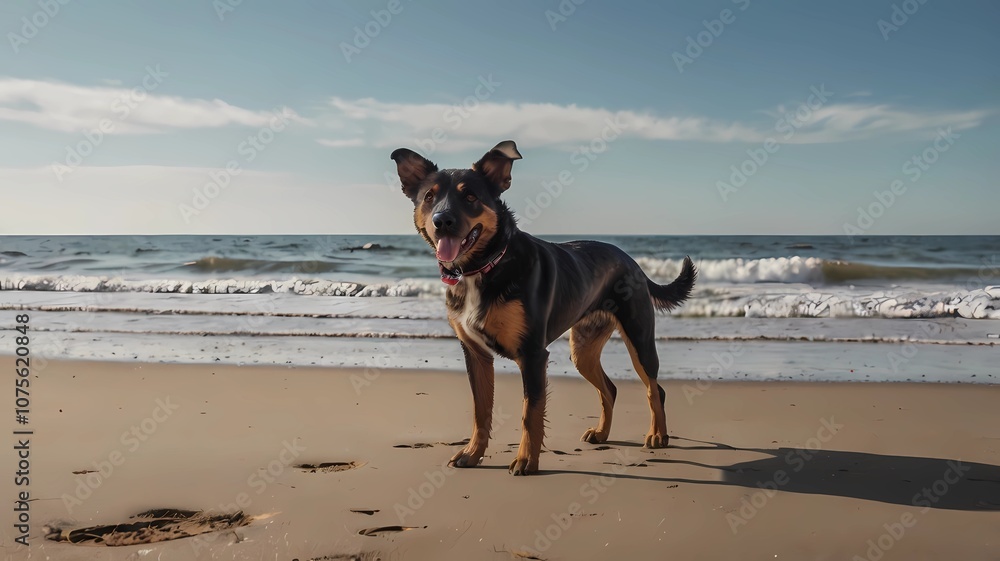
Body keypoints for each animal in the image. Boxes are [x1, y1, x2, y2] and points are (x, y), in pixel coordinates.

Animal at [390, 139, 696, 472]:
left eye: (470, 196)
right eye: (429, 197)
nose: (442, 221)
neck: (486, 266)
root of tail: (632, 262)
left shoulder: (533, 355)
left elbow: (530, 413)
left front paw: (526, 460)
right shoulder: (476, 354)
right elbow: (480, 411)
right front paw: (473, 453)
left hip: (639, 339)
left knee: (655, 388)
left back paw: (657, 435)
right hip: (583, 349)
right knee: (610, 389)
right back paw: (602, 433)